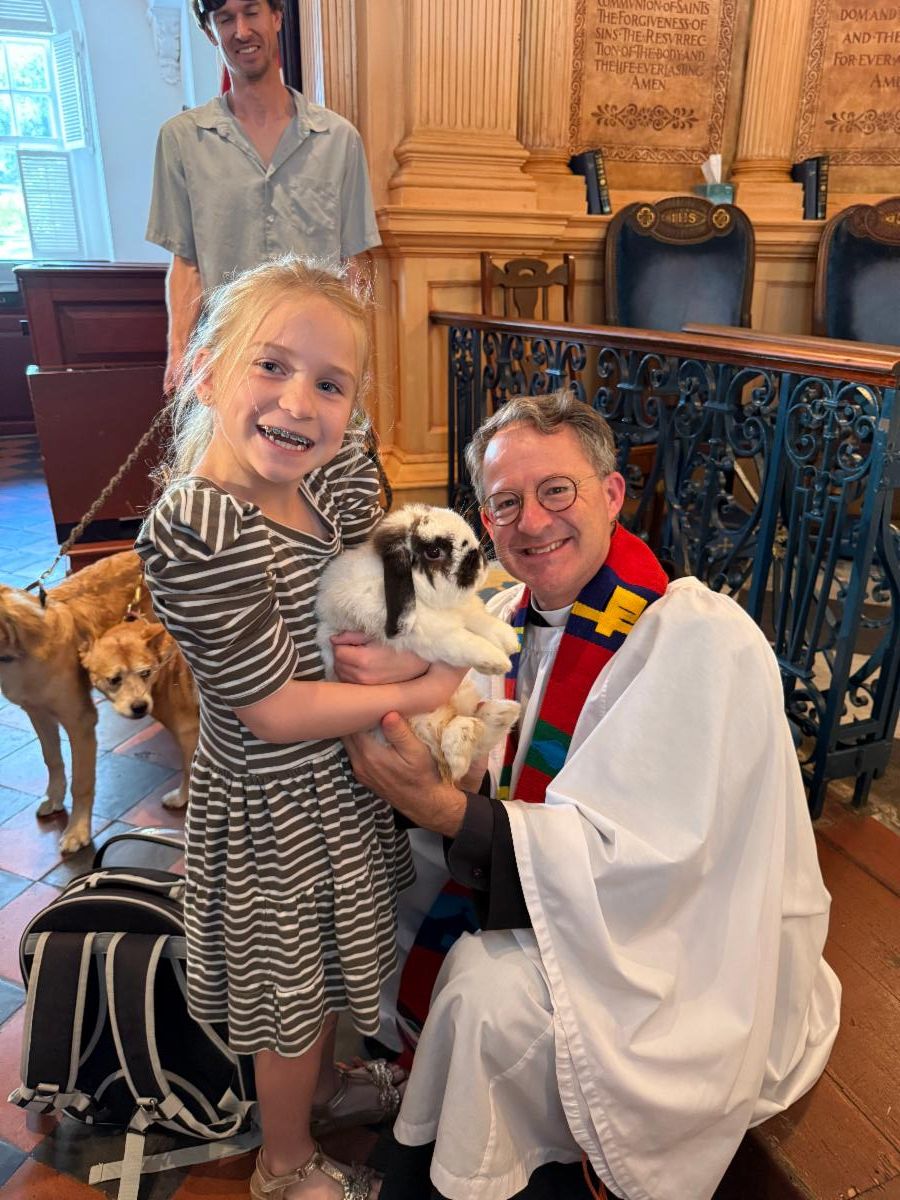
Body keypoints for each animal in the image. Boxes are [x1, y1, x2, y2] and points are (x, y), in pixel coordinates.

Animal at [0, 551, 150, 853]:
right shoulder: (37, 713)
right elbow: (52, 758)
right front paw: (54, 798)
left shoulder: (80, 721)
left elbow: (82, 782)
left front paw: (77, 831)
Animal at [80, 620, 198, 811]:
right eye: (114, 680)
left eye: (145, 673)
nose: (139, 707)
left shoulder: (189, 734)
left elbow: (188, 770)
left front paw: (181, 798)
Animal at [317, 504, 520, 783]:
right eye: (434, 552)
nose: (480, 558)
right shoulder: (432, 635)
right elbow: (463, 641)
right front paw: (497, 661)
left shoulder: (465, 611)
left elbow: (480, 619)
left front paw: (509, 640)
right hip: (420, 722)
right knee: (458, 736)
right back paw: (467, 742)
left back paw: (502, 712)